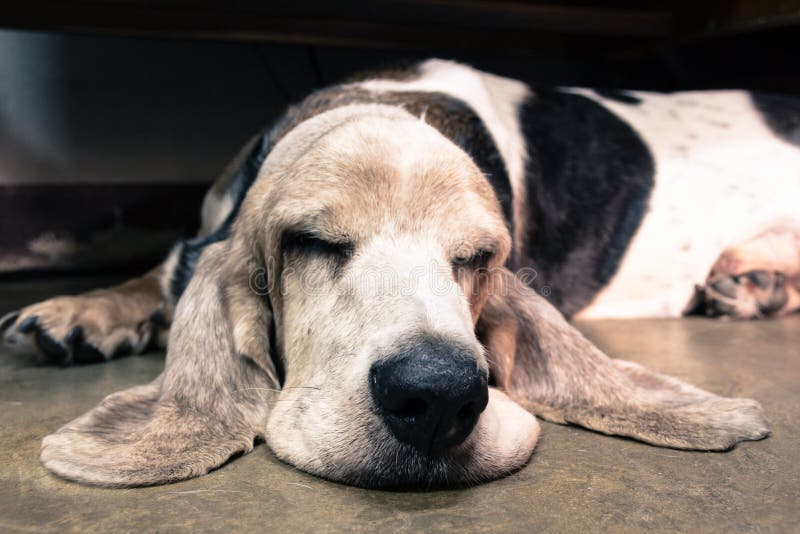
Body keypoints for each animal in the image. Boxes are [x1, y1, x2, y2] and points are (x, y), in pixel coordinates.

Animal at [3, 58, 796, 490]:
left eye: (478, 258)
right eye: (310, 242)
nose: (439, 398)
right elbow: (160, 269)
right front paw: (81, 310)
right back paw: (748, 289)